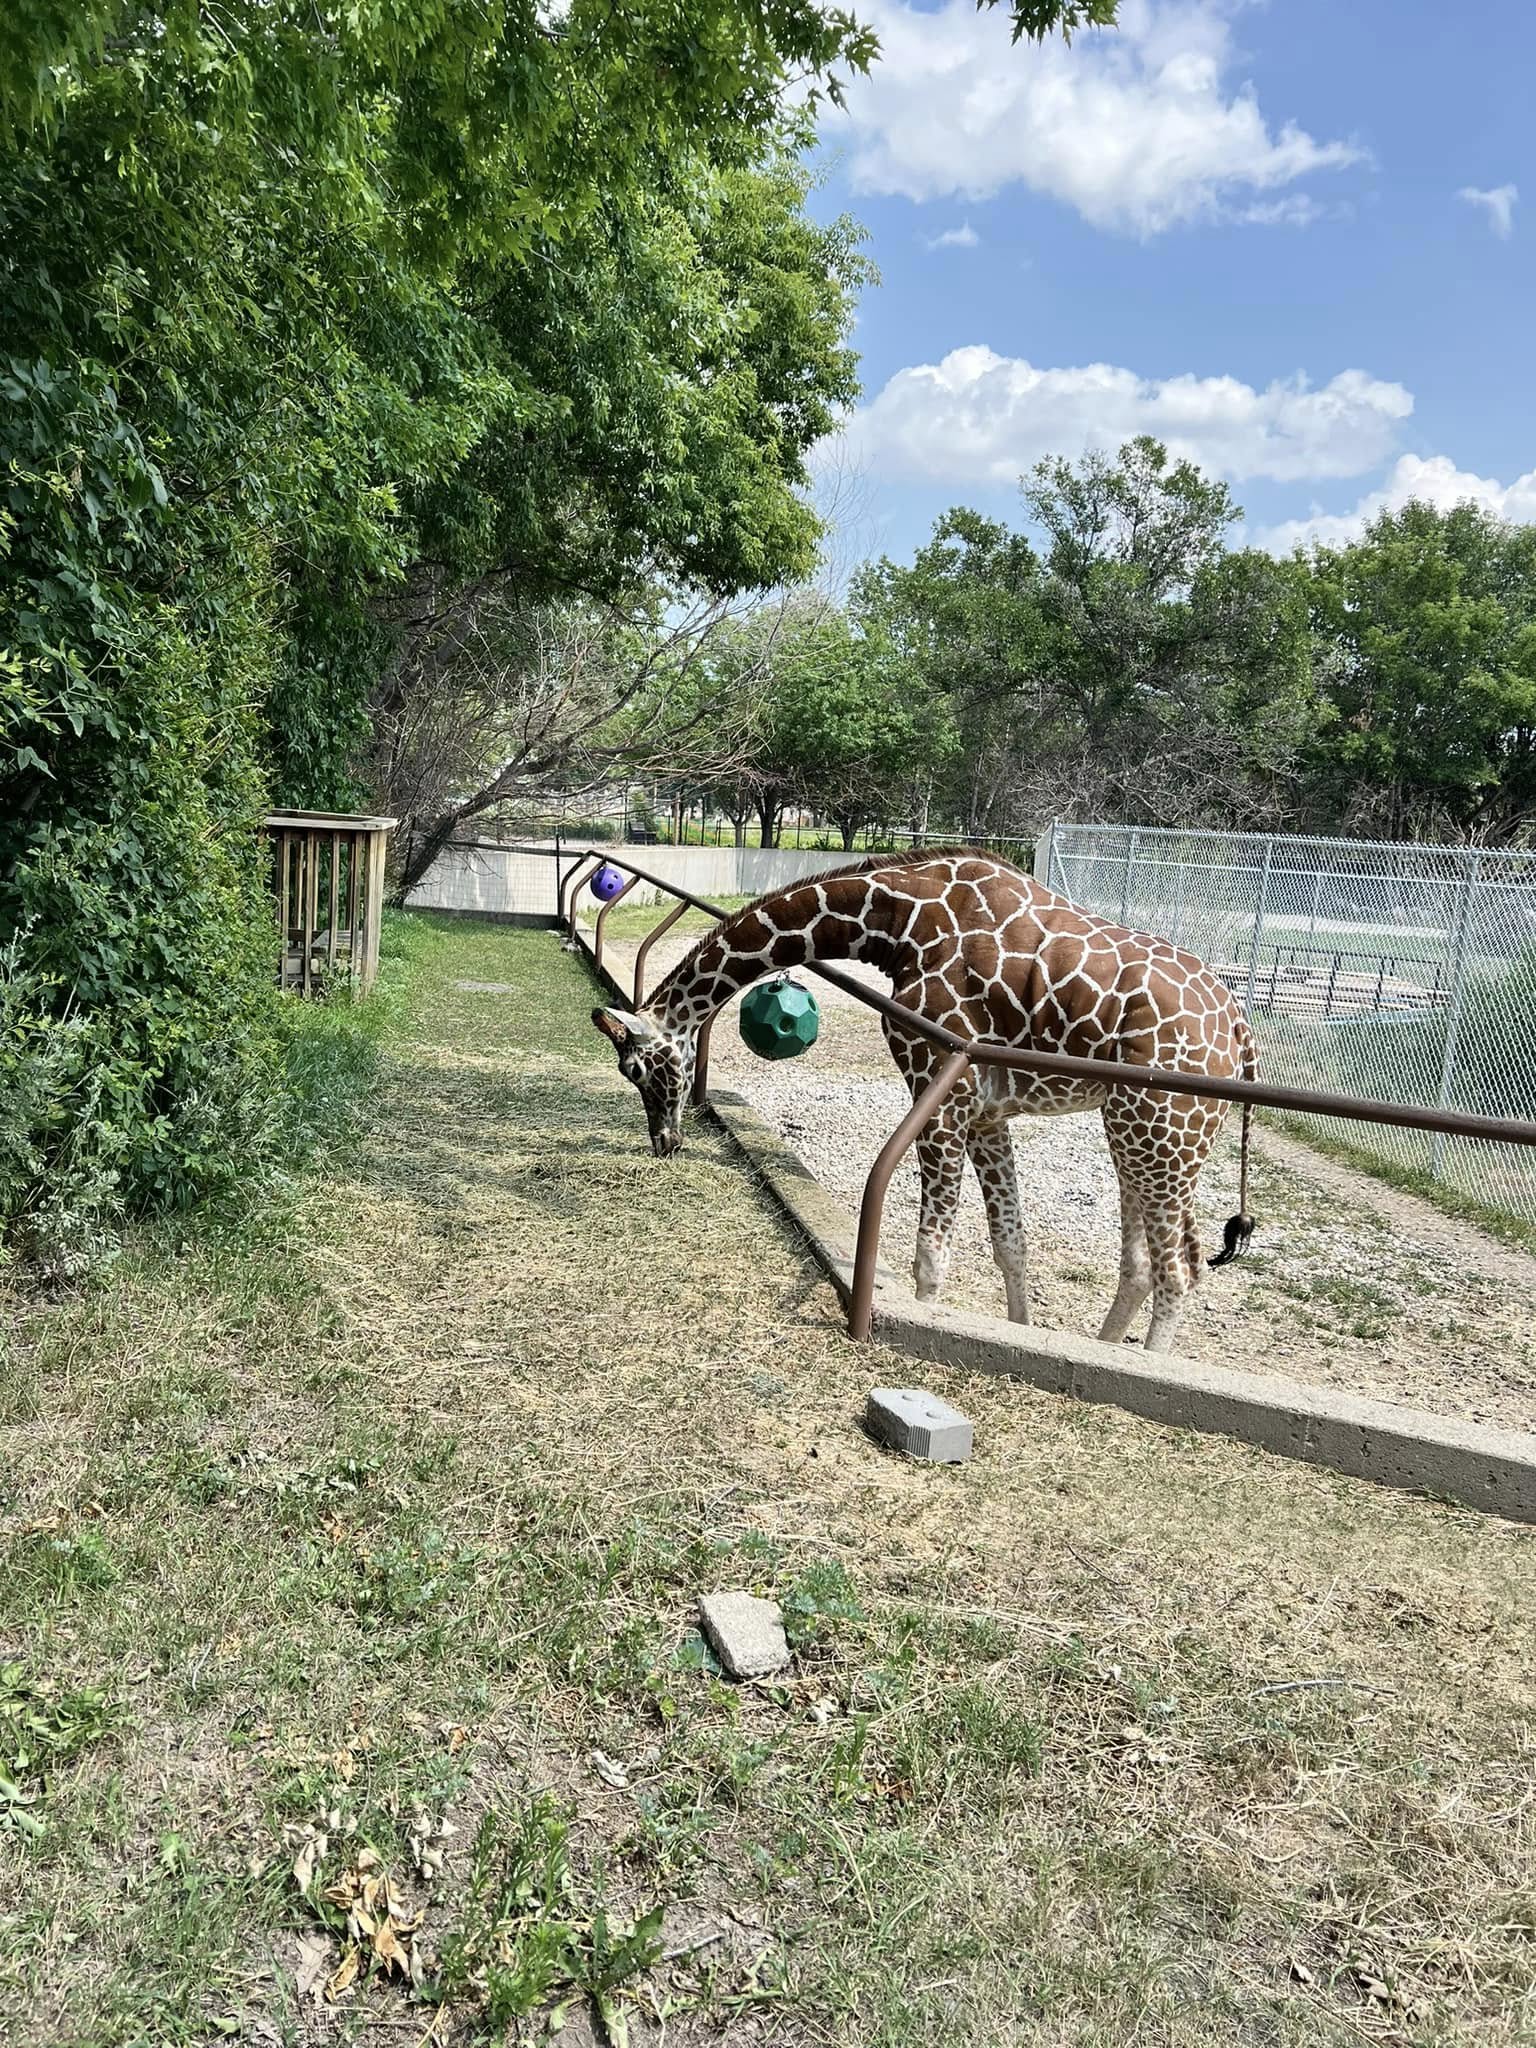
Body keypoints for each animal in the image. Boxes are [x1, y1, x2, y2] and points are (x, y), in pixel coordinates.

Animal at [590, 851, 1256, 1353]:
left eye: (638, 1069)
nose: (664, 1142)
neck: (896, 924)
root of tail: (1240, 1030)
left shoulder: (940, 1087)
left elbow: (929, 1254)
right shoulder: (986, 1112)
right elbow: (1009, 1243)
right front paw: (1021, 1331)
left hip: (1159, 1128)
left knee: (1180, 1269)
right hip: (1141, 1132)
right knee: (1147, 1264)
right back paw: (1103, 1347)